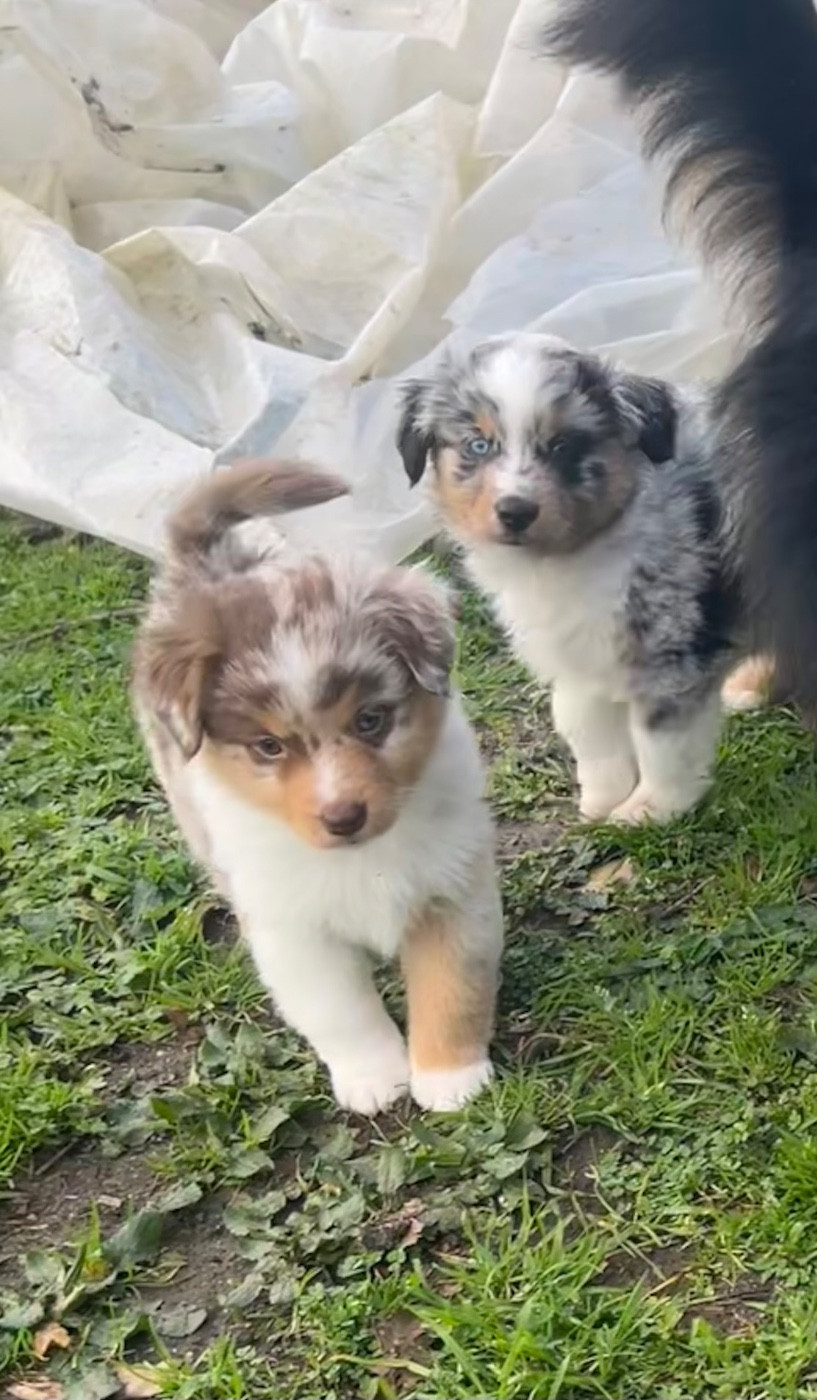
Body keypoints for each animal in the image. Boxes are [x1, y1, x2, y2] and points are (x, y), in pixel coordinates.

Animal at [132, 461, 502, 1114]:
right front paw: (374, 1076)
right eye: (268, 747)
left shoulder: (454, 891)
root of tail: (203, 566)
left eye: (371, 720)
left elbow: (453, 987)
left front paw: (449, 1079)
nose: (343, 816)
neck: (362, 856)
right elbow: (340, 1010)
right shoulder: (293, 931)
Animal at [397, 331, 742, 824]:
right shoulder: (576, 656)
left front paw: (651, 808)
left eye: (562, 445)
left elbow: (661, 744)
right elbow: (583, 725)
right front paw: (602, 798)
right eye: (478, 445)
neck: (566, 559)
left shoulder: (668, 660)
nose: (515, 511)